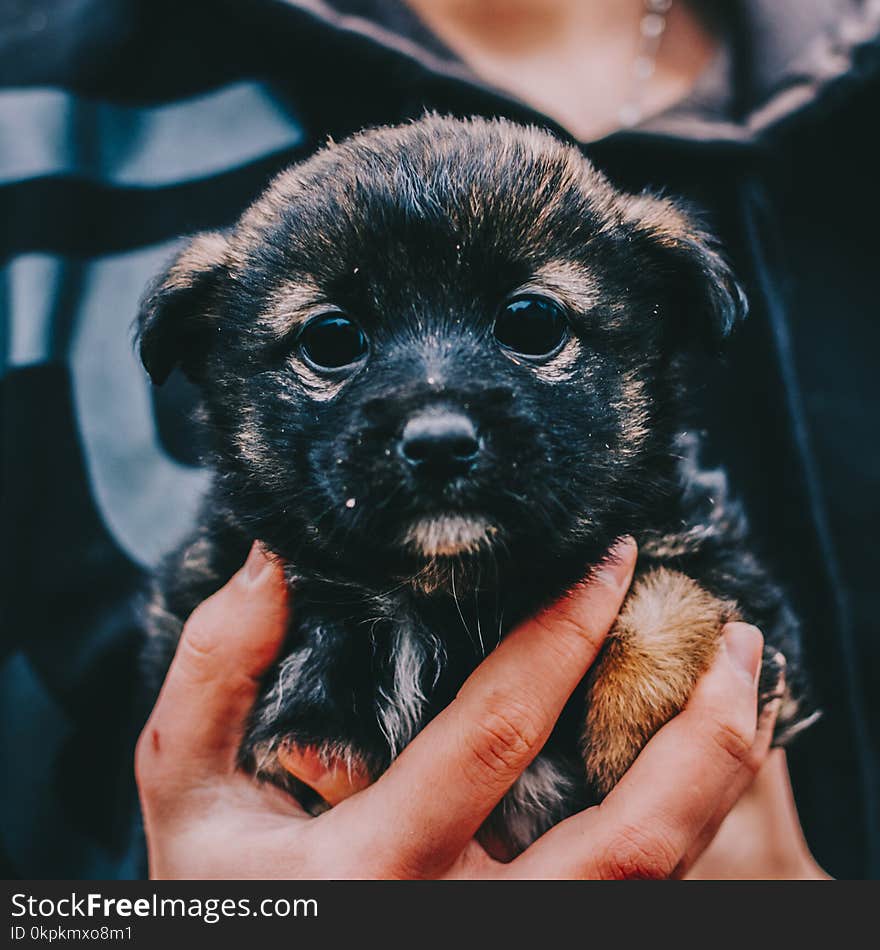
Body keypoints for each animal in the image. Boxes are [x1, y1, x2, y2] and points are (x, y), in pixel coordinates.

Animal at [136, 115, 812, 852]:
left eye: (532, 321)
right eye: (333, 337)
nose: (438, 444)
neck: (440, 598)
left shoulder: (714, 560)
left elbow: (672, 596)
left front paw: (629, 738)